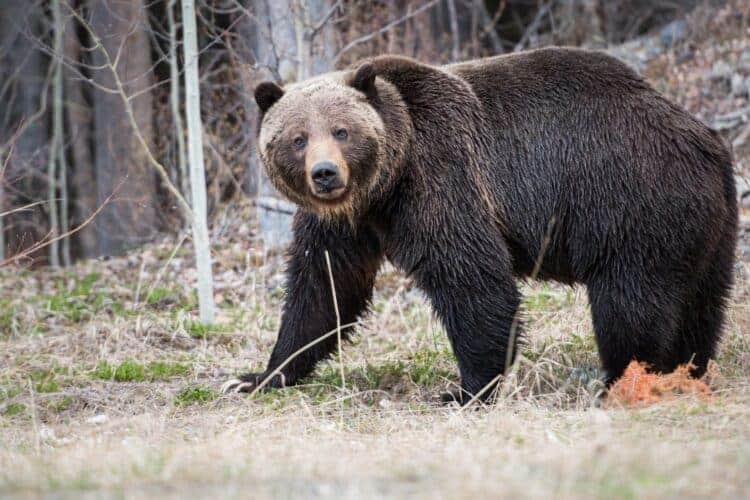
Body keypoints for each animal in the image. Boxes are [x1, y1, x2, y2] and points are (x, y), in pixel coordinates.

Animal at [221, 47, 738, 404]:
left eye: (342, 131)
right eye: (297, 138)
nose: (325, 174)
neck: (384, 186)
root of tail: (705, 139)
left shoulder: (441, 178)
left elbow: (472, 280)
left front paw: (464, 390)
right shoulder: (345, 224)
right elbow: (322, 290)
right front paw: (257, 376)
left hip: (630, 205)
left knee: (628, 307)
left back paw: (622, 381)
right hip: (707, 228)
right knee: (700, 305)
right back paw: (688, 369)